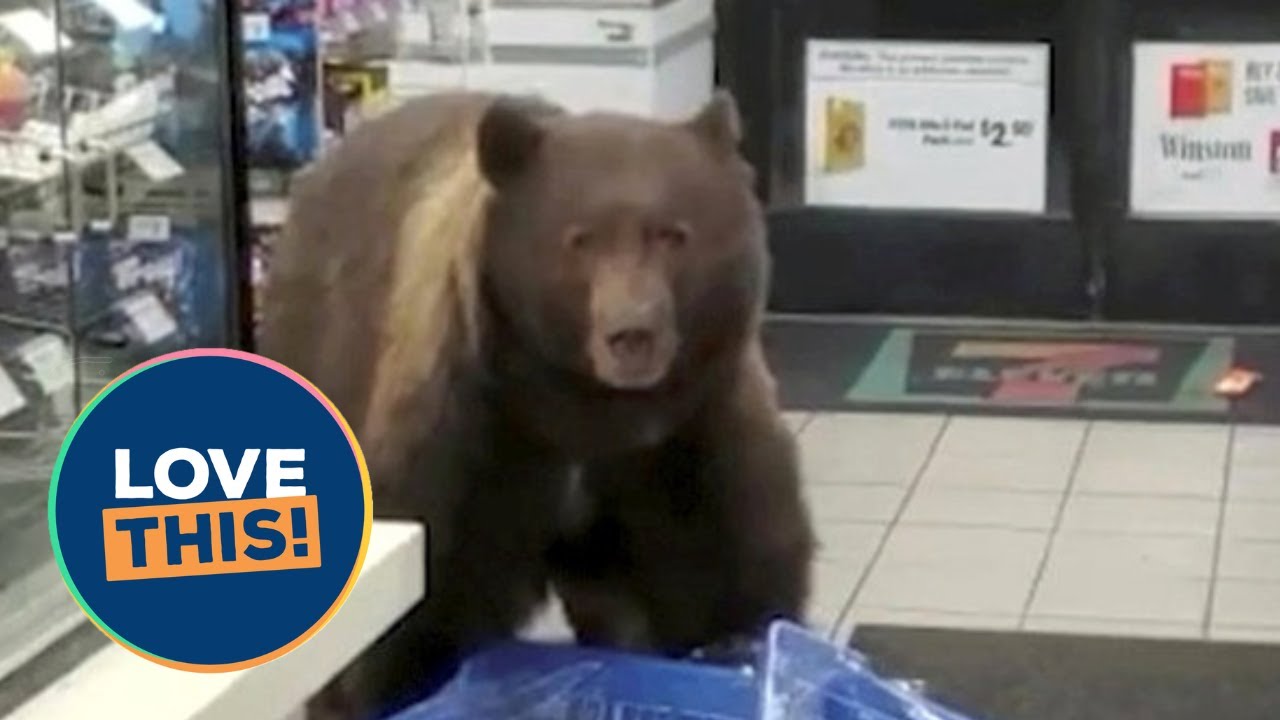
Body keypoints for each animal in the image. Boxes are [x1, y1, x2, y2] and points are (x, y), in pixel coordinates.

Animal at [257, 90, 815, 720]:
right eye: (581, 238)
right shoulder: (475, 440)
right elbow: (423, 619)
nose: (632, 334)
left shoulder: (689, 434)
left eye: (672, 234)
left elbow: (720, 576)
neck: (582, 412)